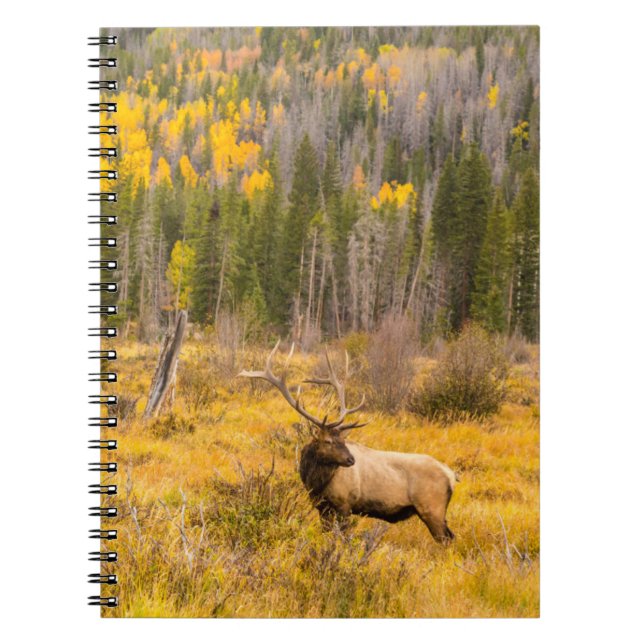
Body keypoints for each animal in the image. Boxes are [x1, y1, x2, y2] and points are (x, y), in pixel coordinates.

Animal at [239, 341, 458, 544]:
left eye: (344, 439)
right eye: (328, 440)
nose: (351, 460)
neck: (315, 482)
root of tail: (452, 475)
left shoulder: (345, 504)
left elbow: (342, 537)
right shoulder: (321, 506)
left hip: (432, 508)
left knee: (446, 538)